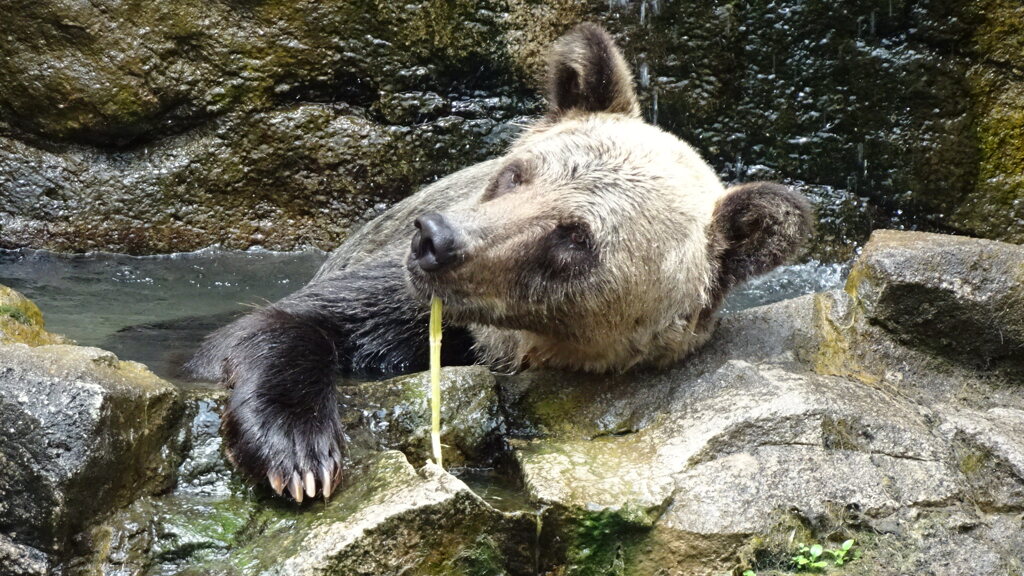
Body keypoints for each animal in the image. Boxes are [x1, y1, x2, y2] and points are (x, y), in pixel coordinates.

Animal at [188, 23, 815, 498]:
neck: (509, 343)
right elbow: (283, 324)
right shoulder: (402, 303)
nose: (436, 240)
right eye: (516, 173)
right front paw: (297, 452)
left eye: (574, 237)